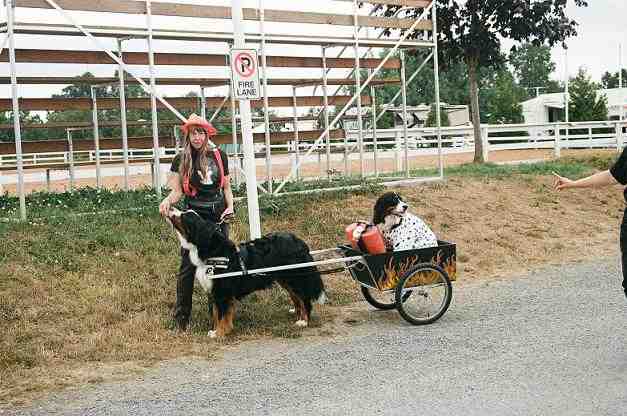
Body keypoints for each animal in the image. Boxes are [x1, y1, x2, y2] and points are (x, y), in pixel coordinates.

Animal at [166, 208, 326, 338]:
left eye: (184, 216)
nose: (170, 208)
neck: (212, 251)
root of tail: (299, 241)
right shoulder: (216, 292)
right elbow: (218, 314)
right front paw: (218, 330)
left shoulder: (222, 292)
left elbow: (221, 316)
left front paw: (219, 333)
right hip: (286, 279)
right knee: (296, 298)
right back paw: (297, 314)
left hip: (295, 279)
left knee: (304, 299)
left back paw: (303, 321)